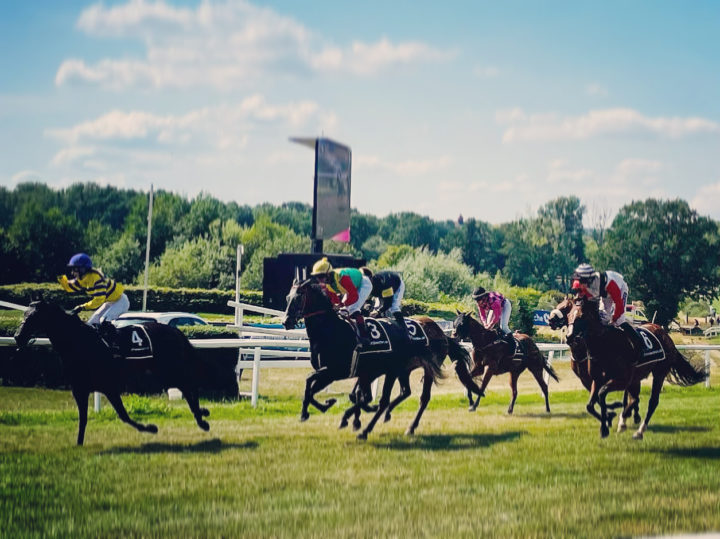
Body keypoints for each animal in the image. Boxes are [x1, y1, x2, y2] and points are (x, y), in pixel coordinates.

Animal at [13, 300, 211, 448]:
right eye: (24, 314)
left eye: (32, 317)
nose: (17, 336)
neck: (80, 343)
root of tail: (175, 331)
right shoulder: (80, 389)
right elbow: (83, 418)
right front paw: (78, 444)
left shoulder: (108, 386)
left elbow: (123, 415)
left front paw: (151, 428)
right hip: (164, 373)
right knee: (188, 386)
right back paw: (202, 413)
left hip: (169, 371)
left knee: (188, 385)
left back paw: (202, 419)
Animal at [278, 278, 470, 438]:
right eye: (287, 297)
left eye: (298, 298)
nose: (286, 321)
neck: (332, 330)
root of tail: (441, 333)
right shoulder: (336, 373)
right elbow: (311, 387)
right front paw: (320, 407)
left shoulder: (337, 371)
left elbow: (316, 384)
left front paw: (334, 409)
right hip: (403, 369)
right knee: (404, 392)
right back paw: (382, 416)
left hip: (421, 369)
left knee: (418, 399)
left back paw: (399, 427)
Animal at [552, 296, 640, 426]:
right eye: (558, 305)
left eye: (565, 307)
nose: (550, 320)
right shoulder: (585, 378)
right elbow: (595, 397)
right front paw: (609, 413)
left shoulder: (595, 377)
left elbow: (599, 395)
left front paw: (610, 412)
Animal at [564, 296, 704, 438]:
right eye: (568, 315)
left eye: (582, 316)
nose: (569, 337)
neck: (605, 343)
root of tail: (666, 336)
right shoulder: (596, 380)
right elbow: (591, 405)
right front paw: (606, 425)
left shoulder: (622, 379)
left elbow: (602, 393)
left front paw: (611, 418)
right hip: (637, 377)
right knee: (634, 398)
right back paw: (625, 420)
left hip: (659, 373)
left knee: (652, 401)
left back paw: (639, 430)